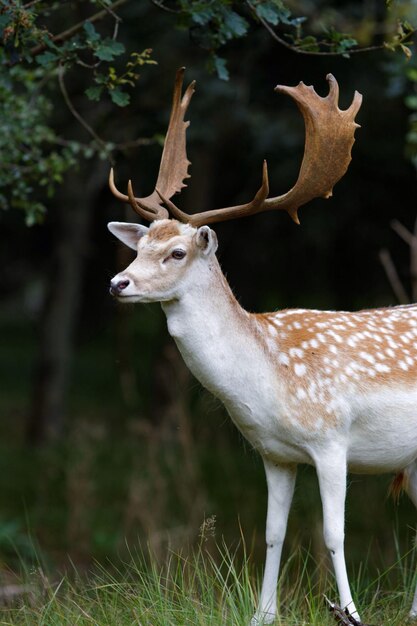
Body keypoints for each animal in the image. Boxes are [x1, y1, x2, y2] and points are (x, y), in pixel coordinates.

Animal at [106, 68, 416, 624]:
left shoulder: (332, 439)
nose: (118, 283)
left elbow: (334, 534)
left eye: (177, 252)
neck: (266, 380)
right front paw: (262, 614)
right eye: (139, 247)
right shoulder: (273, 453)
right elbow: (272, 533)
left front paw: (351, 613)